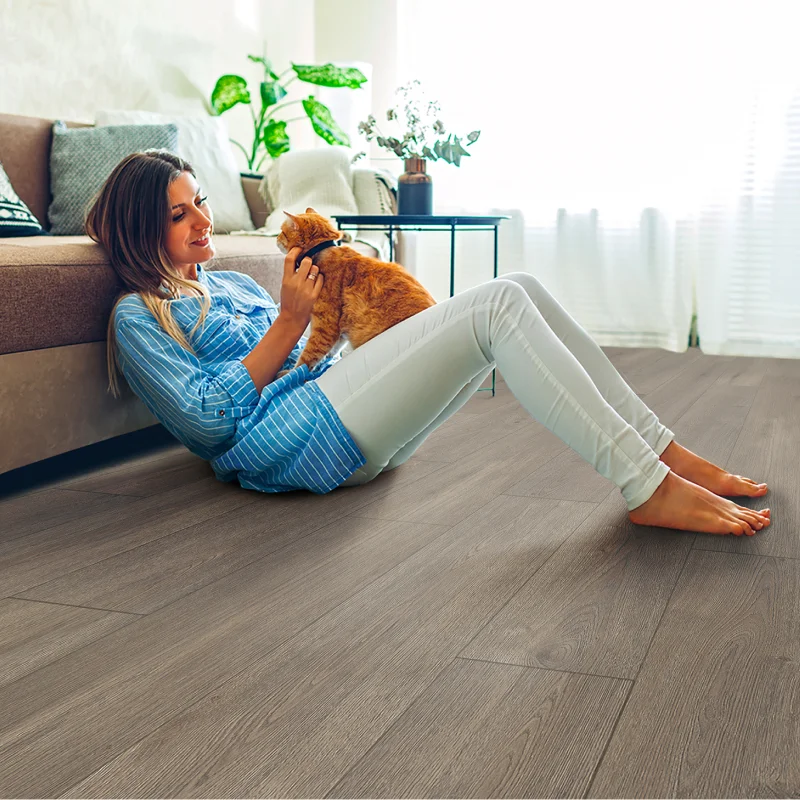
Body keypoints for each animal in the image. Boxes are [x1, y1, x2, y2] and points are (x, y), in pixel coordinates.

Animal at [276, 206, 438, 368]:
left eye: (282, 232)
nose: (276, 239)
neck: (320, 252)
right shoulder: (340, 329)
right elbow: (335, 347)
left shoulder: (326, 326)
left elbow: (306, 358)